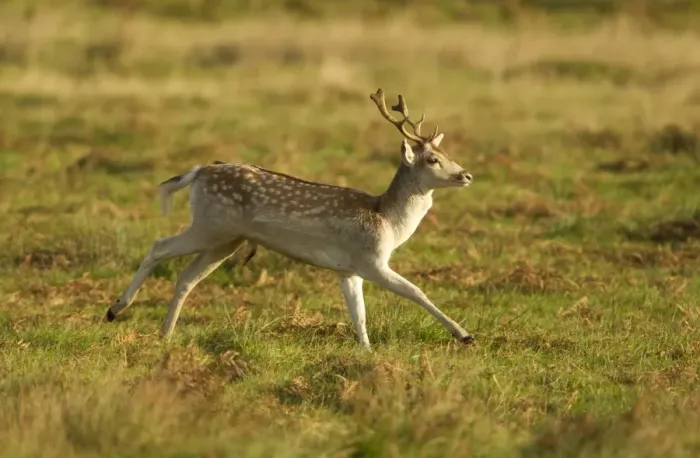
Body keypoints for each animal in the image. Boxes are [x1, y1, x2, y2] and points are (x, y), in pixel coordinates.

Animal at [105, 88, 474, 348]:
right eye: (432, 159)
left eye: (447, 153)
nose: (466, 175)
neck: (388, 221)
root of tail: (198, 171)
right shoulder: (370, 260)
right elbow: (416, 292)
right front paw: (464, 335)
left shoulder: (348, 269)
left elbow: (359, 315)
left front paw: (367, 352)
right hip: (210, 226)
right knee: (159, 246)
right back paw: (114, 309)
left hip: (225, 239)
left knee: (186, 277)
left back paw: (164, 334)